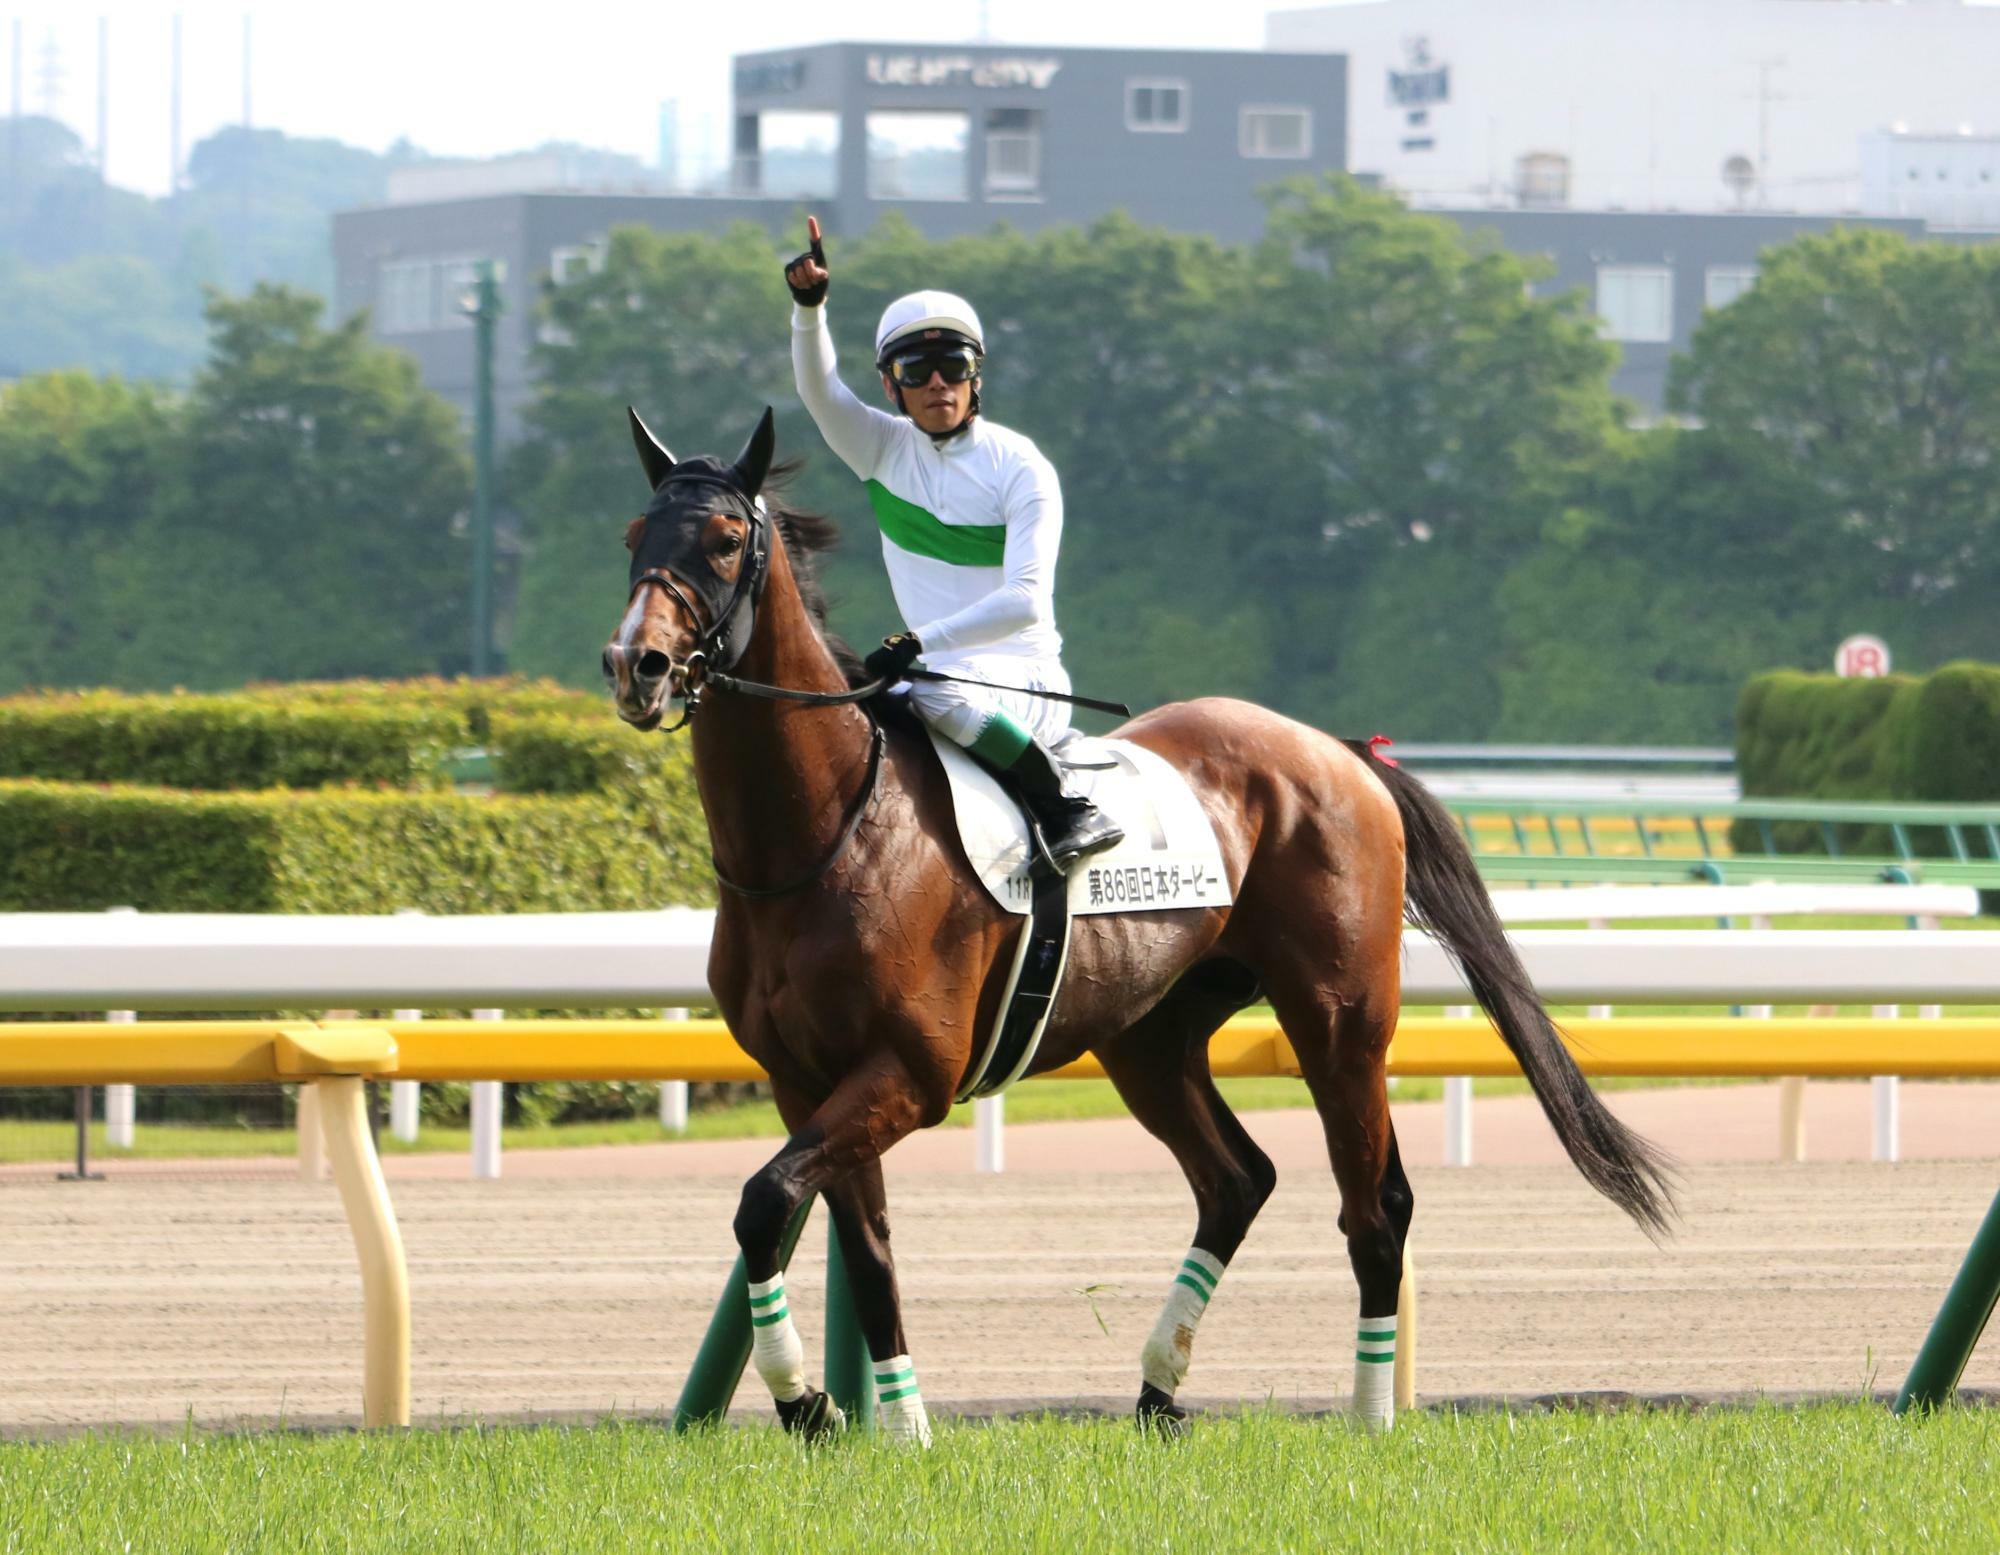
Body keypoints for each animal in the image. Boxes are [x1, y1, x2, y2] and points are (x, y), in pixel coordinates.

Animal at [604, 405, 1672, 1439]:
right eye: (634, 533)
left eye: (725, 538)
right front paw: (885, 1423)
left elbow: (767, 1199)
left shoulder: (910, 1071)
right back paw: (1160, 1391)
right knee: (1236, 1178)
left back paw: (1370, 1418)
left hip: (1340, 1022)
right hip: (1150, 1035)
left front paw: (809, 1401)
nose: (637, 664)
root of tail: (1342, 752)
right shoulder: (803, 1077)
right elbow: (846, 1237)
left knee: (1374, 1207)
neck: (824, 835)